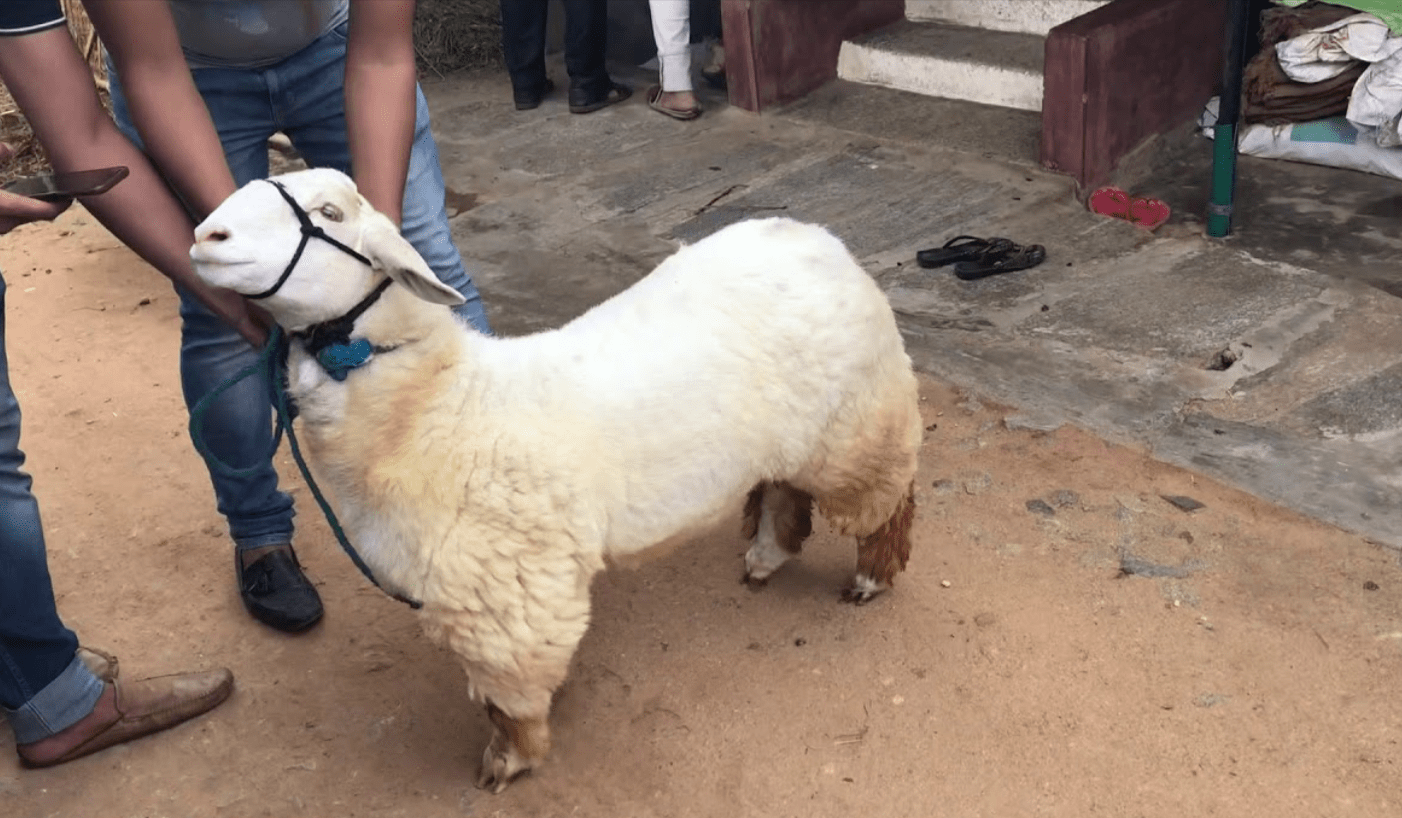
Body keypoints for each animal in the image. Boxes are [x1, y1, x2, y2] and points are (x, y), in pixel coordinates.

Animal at [192, 168, 925, 791]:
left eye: (330, 213)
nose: (205, 236)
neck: (437, 408)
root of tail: (816, 236)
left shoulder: (503, 599)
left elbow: (505, 702)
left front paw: (507, 762)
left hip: (859, 425)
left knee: (887, 497)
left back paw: (869, 578)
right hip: (800, 437)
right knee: (783, 489)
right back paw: (767, 557)